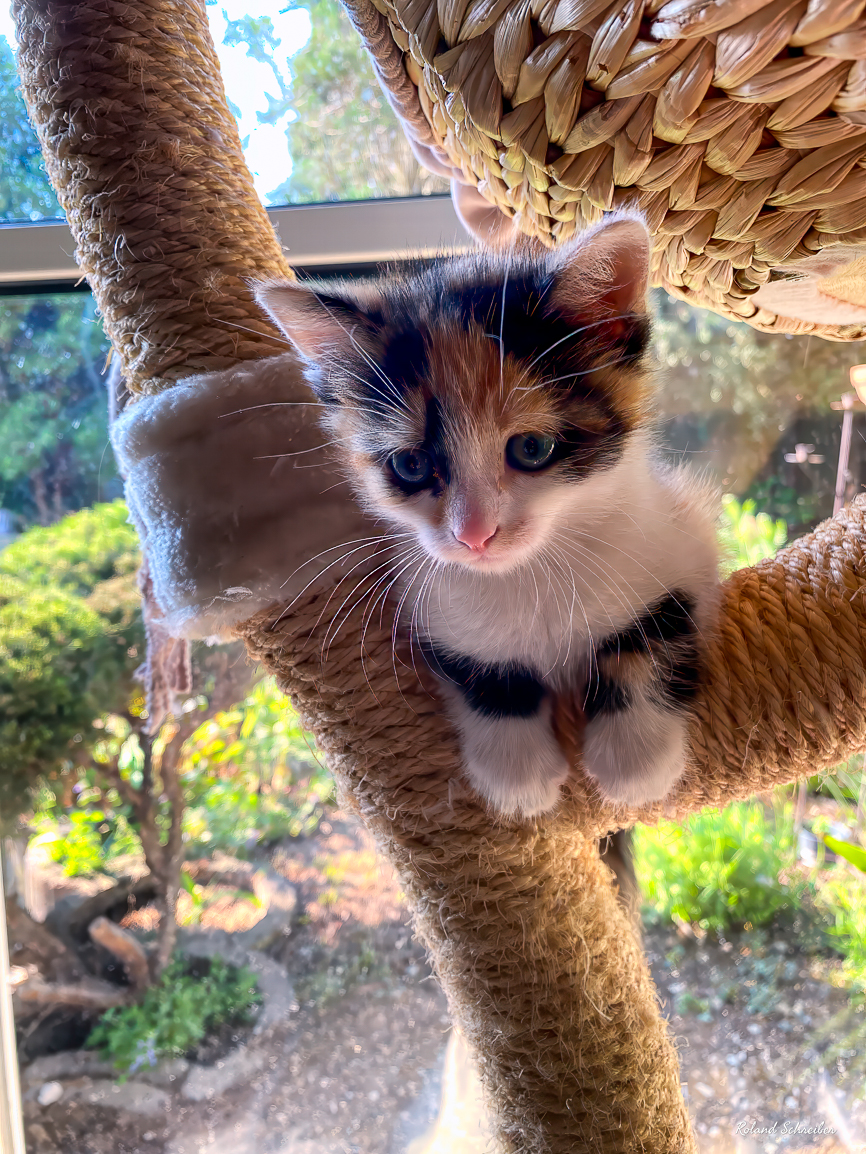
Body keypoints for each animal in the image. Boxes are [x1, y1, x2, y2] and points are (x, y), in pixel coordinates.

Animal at [255, 213, 720, 818]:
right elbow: (479, 669)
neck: (530, 578)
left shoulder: (682, 540)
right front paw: (518, 775)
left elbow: (656, 631)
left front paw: (634, 758)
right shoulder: (433, 605)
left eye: (532, 449)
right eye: (411, 464)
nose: (474, 535)